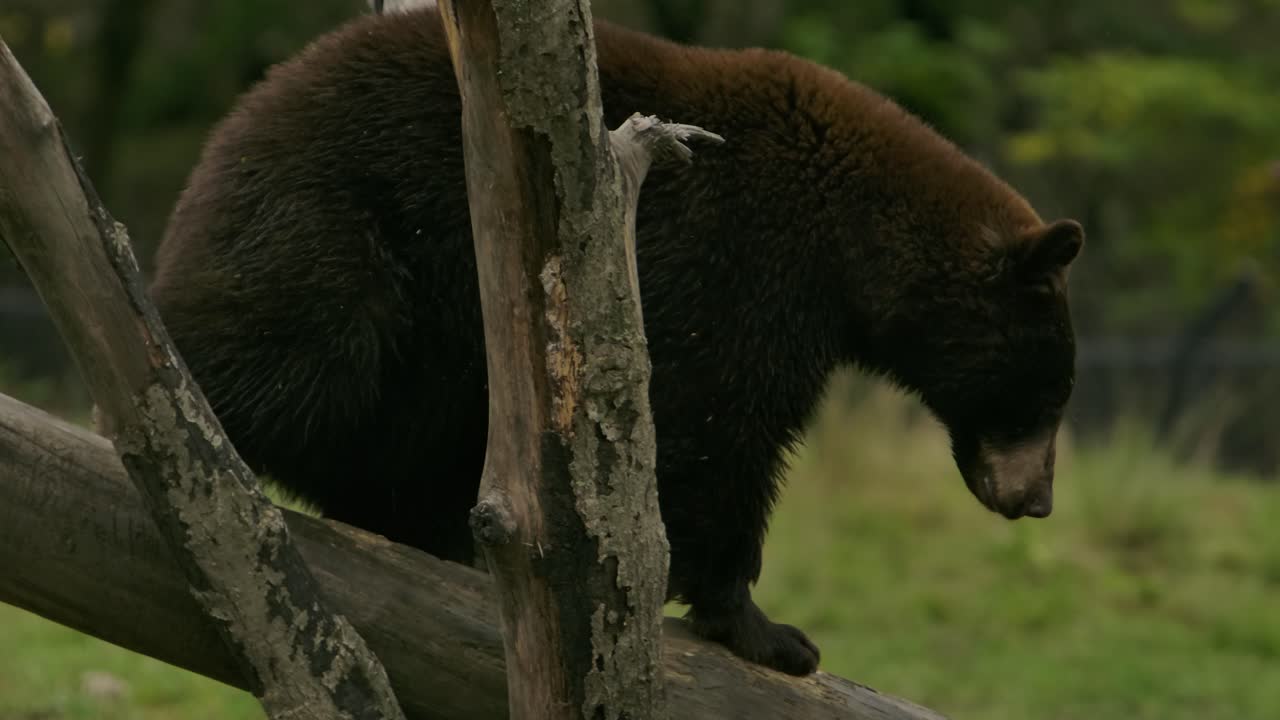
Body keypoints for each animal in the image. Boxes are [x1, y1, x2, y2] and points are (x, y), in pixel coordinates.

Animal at [149, 6, 1083, 676]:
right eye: (1051, 393)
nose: (1037, 500)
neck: (853, 243)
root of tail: (220, 144)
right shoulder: (744, 269)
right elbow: (719, 430)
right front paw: (771, 630)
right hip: (340, 228)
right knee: (297, 353)